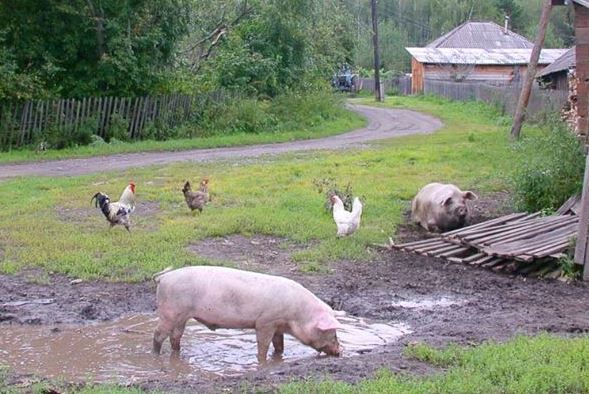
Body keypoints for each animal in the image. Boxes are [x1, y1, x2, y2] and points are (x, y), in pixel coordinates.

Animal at [152, 264, 342, 364]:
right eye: (332, 333)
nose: (340, 352)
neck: (297, 315)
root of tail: (164, 277)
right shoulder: (266, 322)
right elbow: (263, 344)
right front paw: (262, 362)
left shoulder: (278, 325)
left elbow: (279, 345)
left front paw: (279, 358)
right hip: (169, 312)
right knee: (159, 334)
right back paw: (155, 354)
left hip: (181, 316)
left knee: (175, 336)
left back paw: (177, 353)